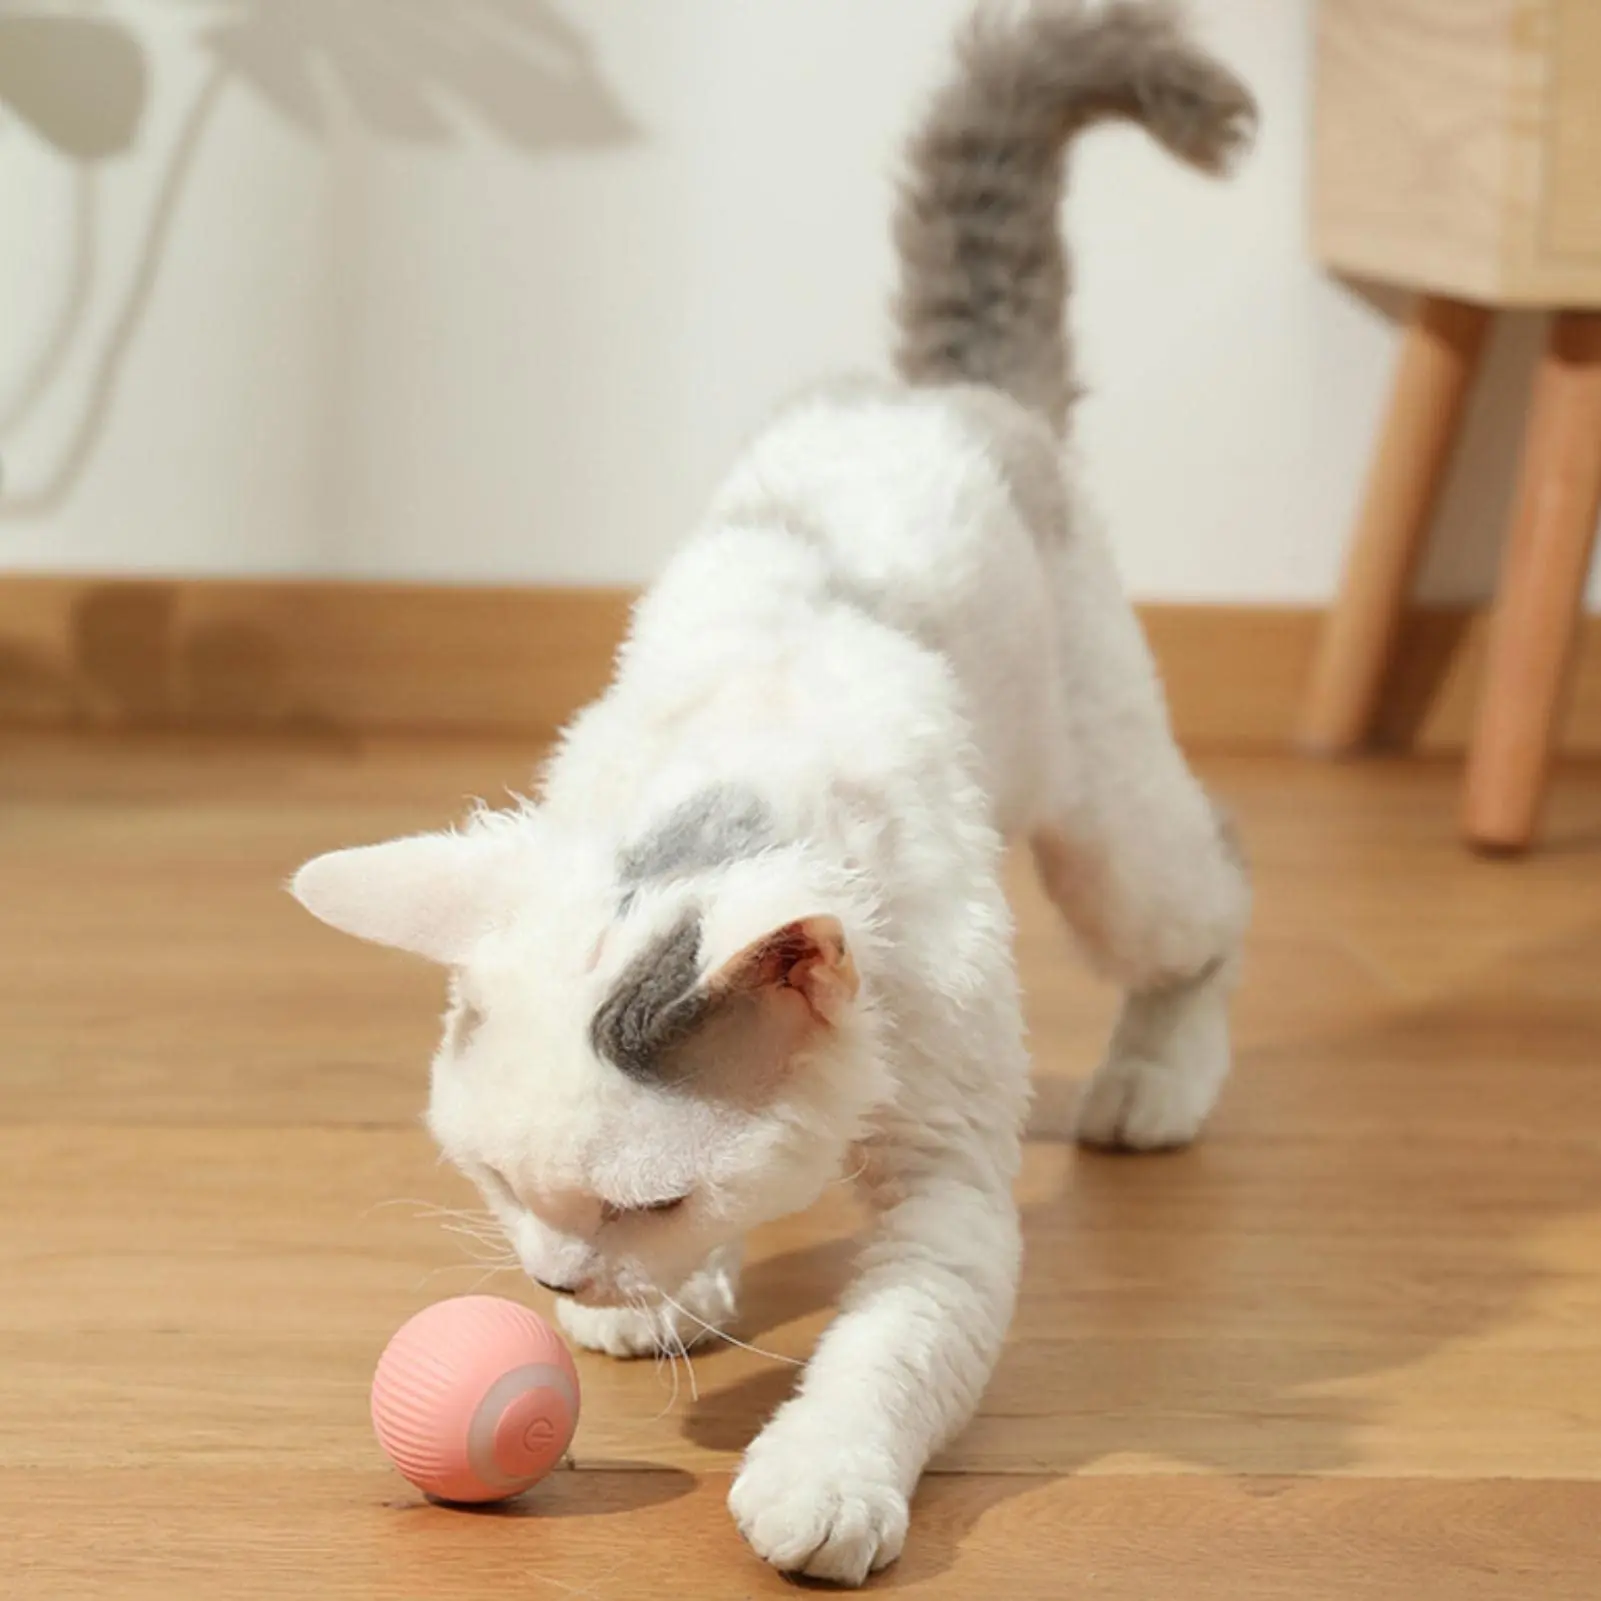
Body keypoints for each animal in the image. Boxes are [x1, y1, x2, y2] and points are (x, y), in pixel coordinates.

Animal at [294, 0, 1255, 1575]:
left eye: (646, 1196)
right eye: (496, 1184)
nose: (560, 1280)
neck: (724, 776)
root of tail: (939, 388)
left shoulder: (947, 1180)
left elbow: (890, 1350)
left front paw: (819, 1481)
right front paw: (668, 1304)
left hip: (1110, 831)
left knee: (1212, 886)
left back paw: (1152, 1084)